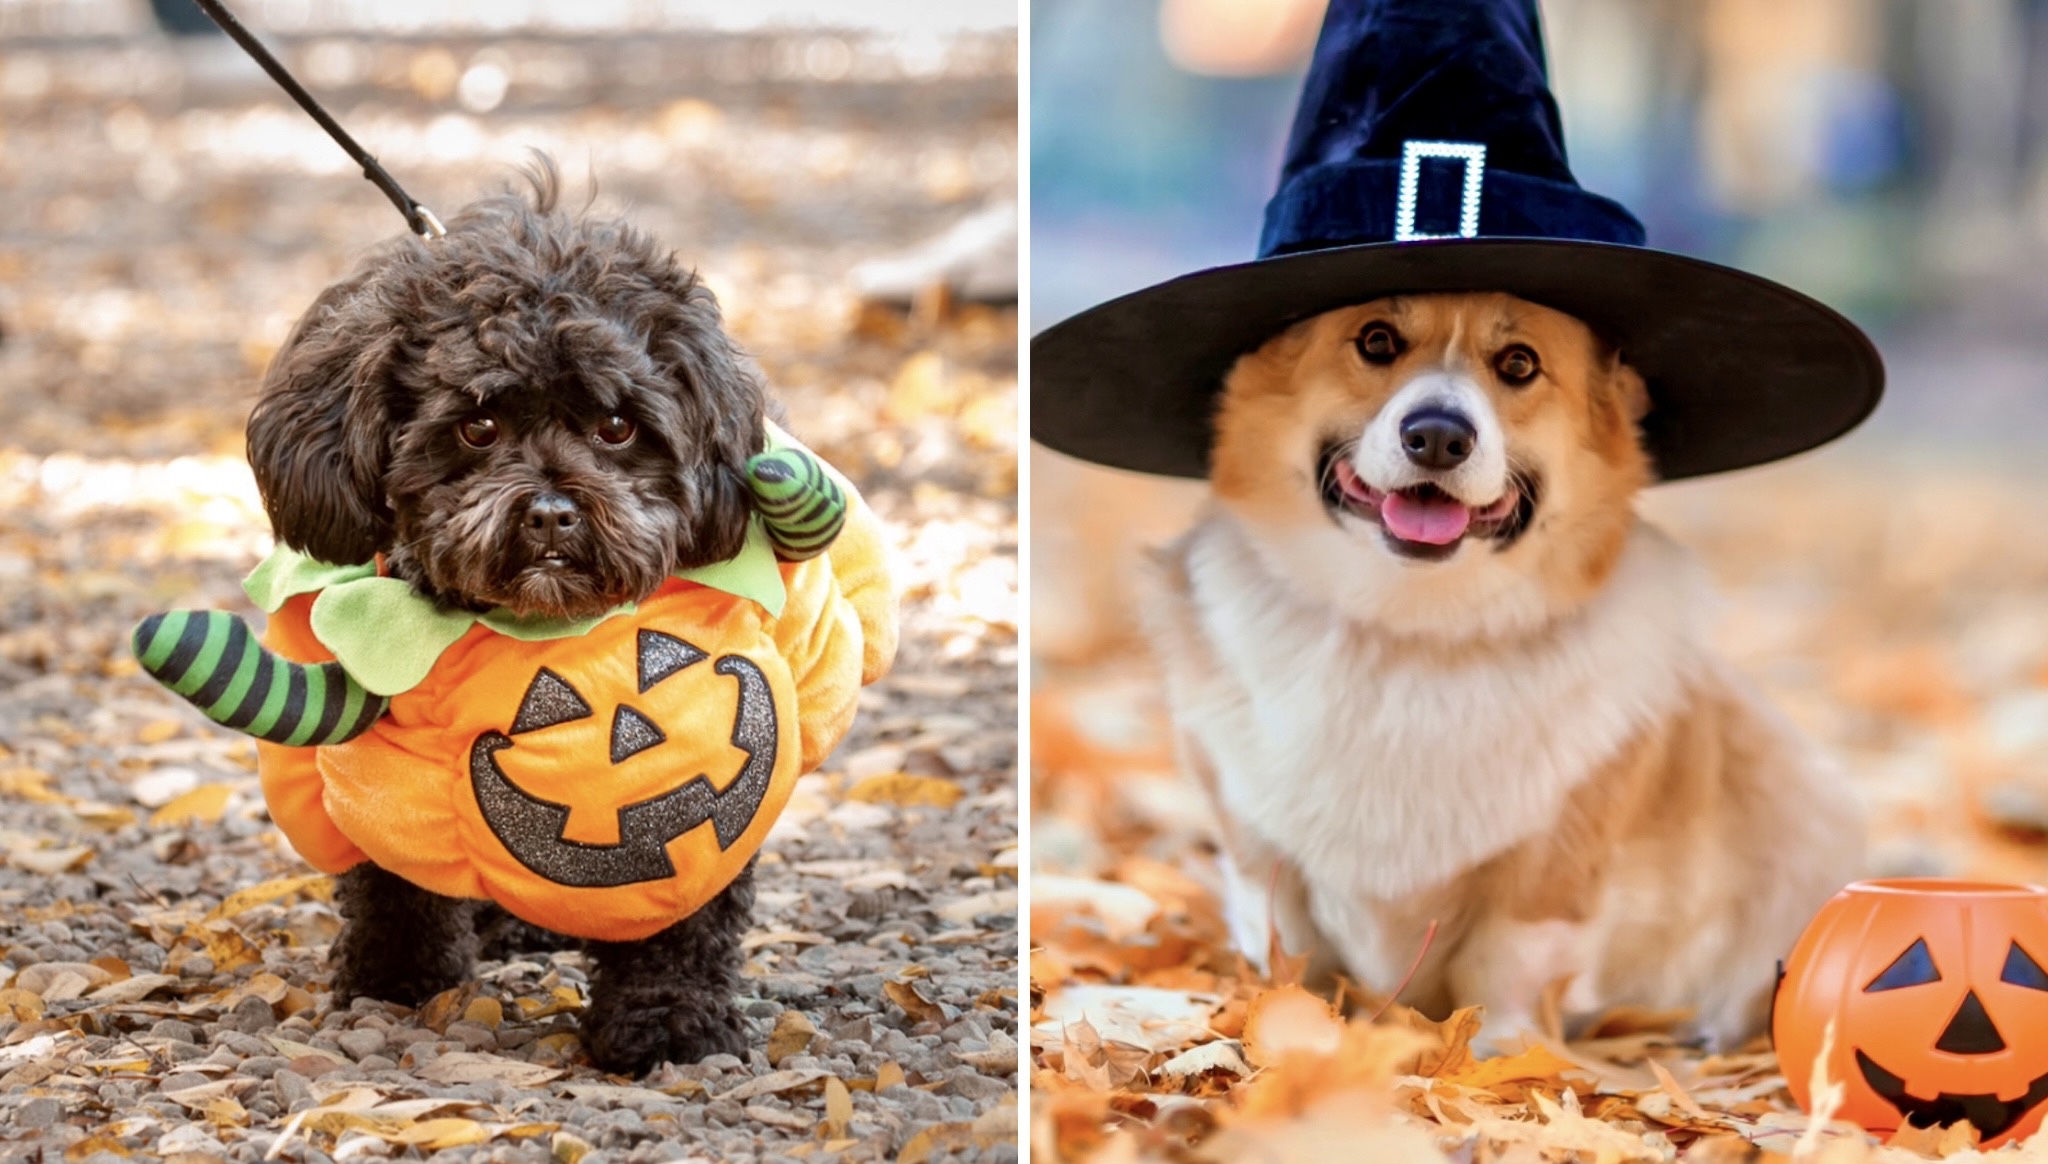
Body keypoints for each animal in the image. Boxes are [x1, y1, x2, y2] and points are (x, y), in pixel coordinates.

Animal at [245, 158, 770, 1073]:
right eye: (479, 426)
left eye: (617, 426)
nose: (553, 514)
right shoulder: (379, 782)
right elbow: (393, 883)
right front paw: (395, 984)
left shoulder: (719, 772)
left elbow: (688, 909)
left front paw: (670, 1025)